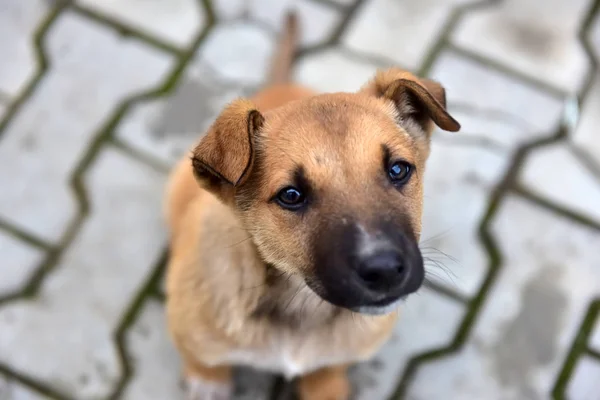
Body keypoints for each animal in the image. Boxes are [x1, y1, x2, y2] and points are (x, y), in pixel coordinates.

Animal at [164, 12, 460, 400]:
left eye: (398, 170)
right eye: (291, 195)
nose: (384, 271)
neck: (302, 304)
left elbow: (327, 371)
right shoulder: (190, 329)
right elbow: (204, 360)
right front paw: (208, 381)